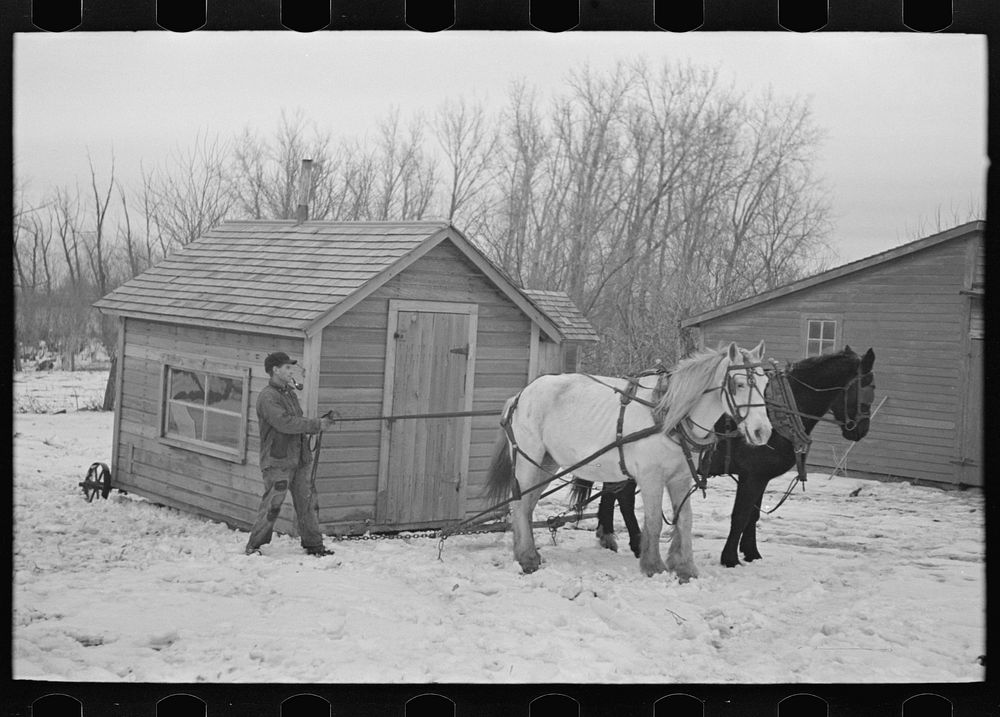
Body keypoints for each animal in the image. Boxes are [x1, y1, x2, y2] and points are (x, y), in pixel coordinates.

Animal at [484, 342, 772, 580]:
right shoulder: (651, 477)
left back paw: (526, 552)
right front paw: (653, 566)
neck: (669, 416)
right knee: (519, 505)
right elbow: (654, 522)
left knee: (527, 505)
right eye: (739, 383)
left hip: (547, 463)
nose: (763, 432)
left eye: (765, 382)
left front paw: (685, 567)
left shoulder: (680, 478)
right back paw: (527, 558)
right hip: (528, 460)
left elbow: (685, 521)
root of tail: (521, 395)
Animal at [572, 346, 876, 564]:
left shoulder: (759, 477)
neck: (780, 411)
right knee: (622, 496)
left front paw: (751, 553)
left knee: (613, 493)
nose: (861, 430)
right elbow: (740, 516)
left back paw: (608, 535)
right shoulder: (753, 476)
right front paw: (730, 557)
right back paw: (634, 542)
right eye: (868, 387)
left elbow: (753, 516)